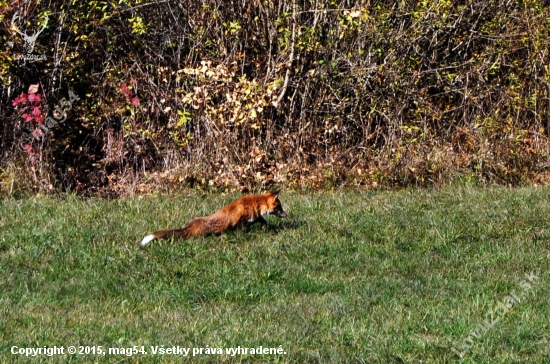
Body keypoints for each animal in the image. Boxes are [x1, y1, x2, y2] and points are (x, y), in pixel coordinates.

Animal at [141, 191, 288, 245]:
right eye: (280, 207)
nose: (286, 214)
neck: (255, 204)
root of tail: (190, 226)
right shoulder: (240, 222)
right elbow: (241, 230)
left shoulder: (254, 218)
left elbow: (263, 220)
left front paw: (264, 228)